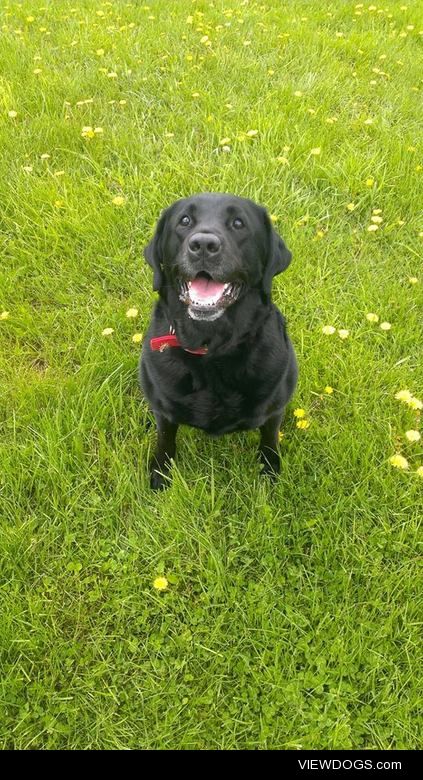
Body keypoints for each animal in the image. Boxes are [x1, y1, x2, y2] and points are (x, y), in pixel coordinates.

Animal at [139, 193, 298, 488]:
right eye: (185, 221)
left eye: (238, 223)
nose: (203, 244)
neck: (212, 347)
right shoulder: (164, 412)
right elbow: (165, 441)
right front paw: (160, 475)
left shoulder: (273, 411)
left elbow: (269, 440)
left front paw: (269, 472)